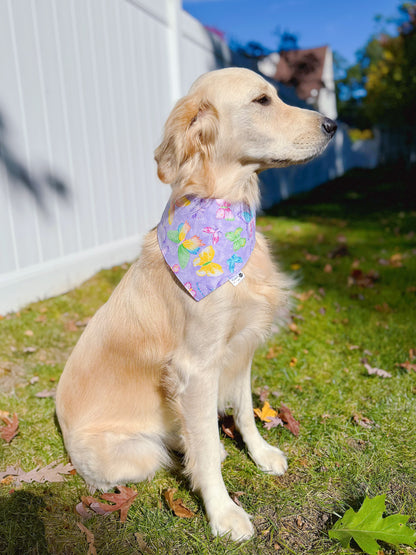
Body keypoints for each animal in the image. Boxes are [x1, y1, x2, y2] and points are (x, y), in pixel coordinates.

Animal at [55, 67, 336, 540]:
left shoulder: (240, 348)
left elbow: (244, 412)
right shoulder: (197, 366)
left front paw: (260, 453)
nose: (333, 125)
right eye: (262, 100)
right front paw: (223, 512)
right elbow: (203, 447)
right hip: (136, 455)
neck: (225, 209)